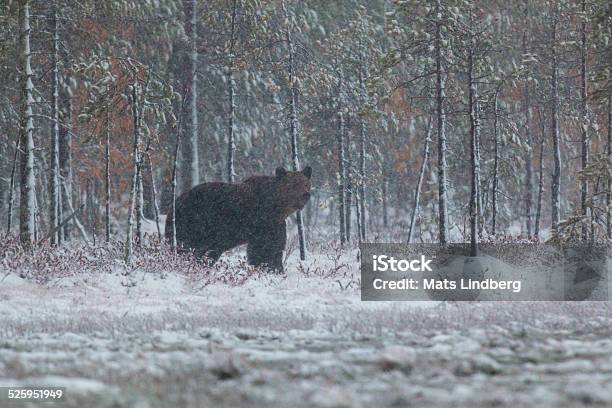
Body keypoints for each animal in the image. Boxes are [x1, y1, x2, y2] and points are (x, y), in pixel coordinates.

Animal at [166, 166, 314, 270]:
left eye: (306, 183)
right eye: (293, 184)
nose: (305, 194)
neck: (278, 207)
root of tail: (175, 203)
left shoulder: (276, 223)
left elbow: (274, 245)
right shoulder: (263, 222)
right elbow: (265, 247)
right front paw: (270, 267)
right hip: (196, 223)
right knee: (188, 247)